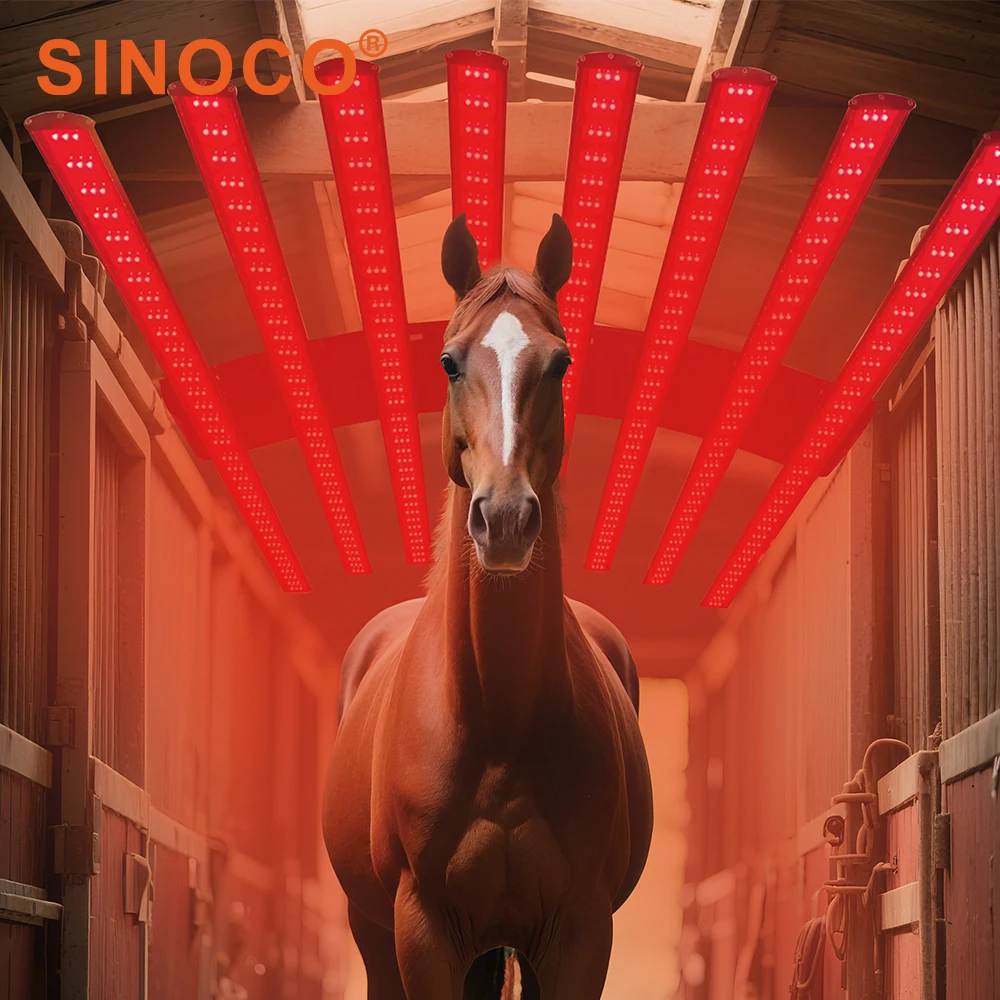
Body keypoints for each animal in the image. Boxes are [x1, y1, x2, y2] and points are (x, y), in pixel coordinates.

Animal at [323, 212, 653, 999]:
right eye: (448, 362)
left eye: (560, 364)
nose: (503, 520)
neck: (498, 723)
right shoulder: (421, 931)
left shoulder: (580, 933)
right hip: (371, 930)